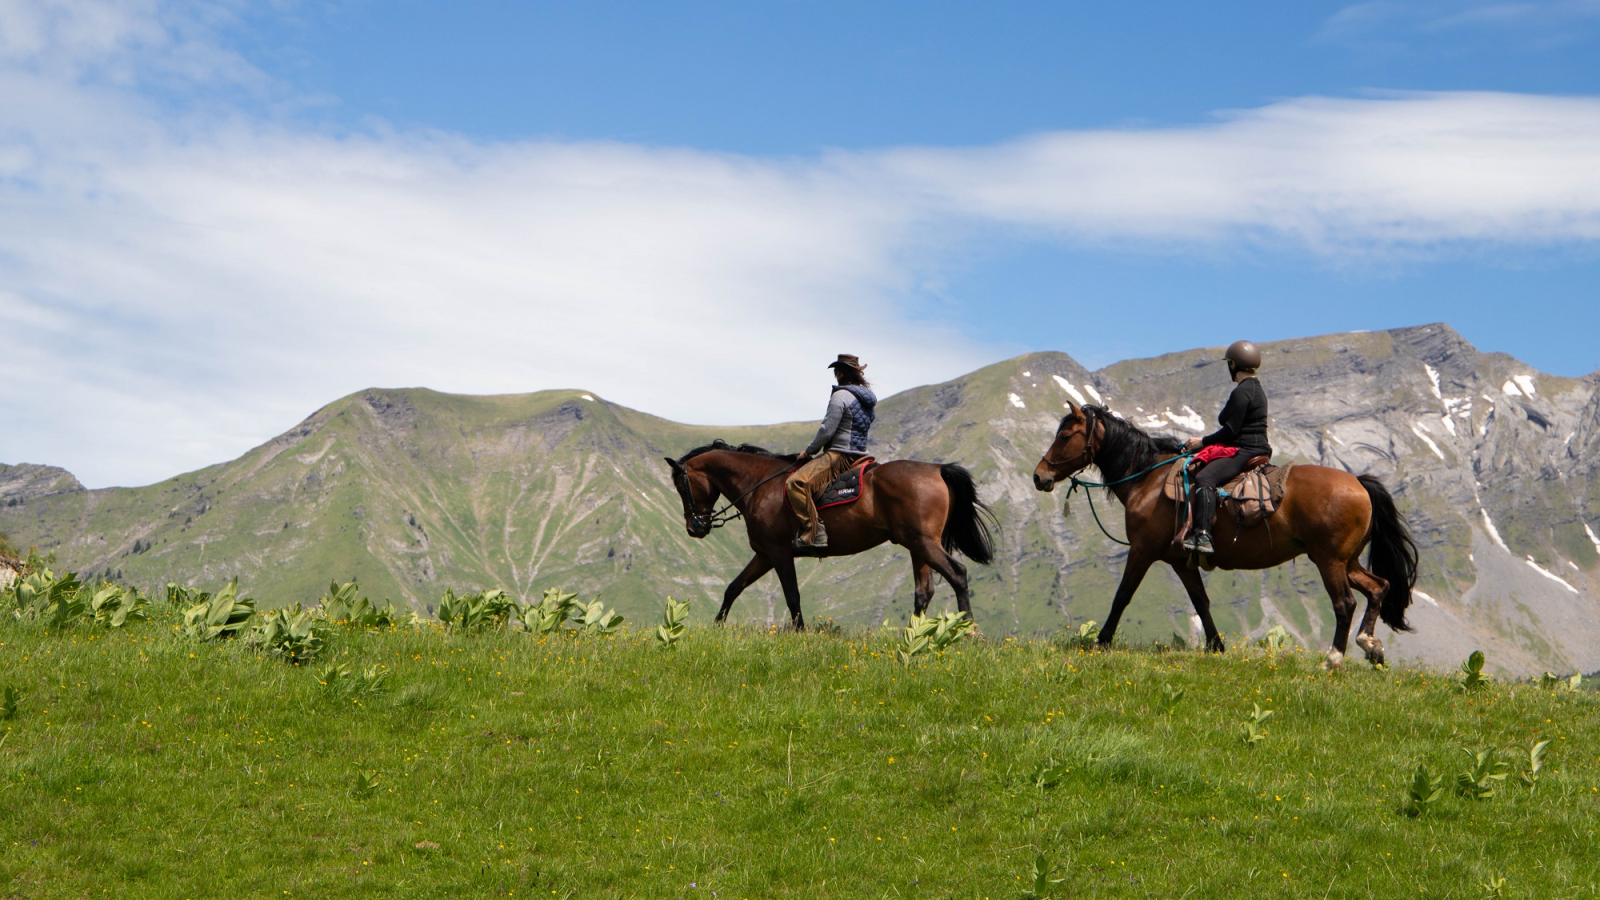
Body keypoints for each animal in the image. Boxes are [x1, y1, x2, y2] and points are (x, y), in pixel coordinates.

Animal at [659, 438, 985, 624]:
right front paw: (717, 627)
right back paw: (913, 636)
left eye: (681, 487)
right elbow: (733, 588)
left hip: (924, 543)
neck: (761, 484)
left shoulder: (778, 553)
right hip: (917, 546)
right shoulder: (764, 555)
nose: (694, 527)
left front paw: (800, 633)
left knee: (957, 574)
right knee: (924, 591)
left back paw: (968, 630)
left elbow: (792, 596)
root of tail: (937, 469)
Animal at [1030, 400, 1420, 666]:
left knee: (1346, 603)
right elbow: (1201, 602)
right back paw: (1370, 646)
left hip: (1330, 561)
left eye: (1064, 435)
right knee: (1378, 587)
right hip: (1346, 561)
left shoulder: (1142, 550)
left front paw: (1101, 642)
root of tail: (1359, 483)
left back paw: (1334, 658)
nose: (1039, 476)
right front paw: (1216, 646)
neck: (1147, 479)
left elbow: (1122, 596)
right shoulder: (1181, 561)